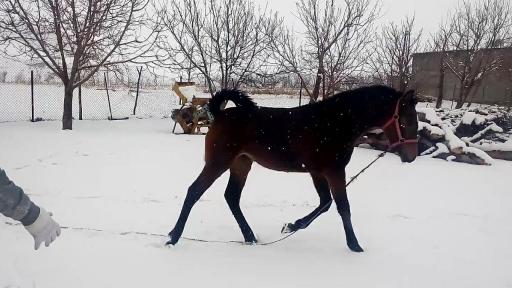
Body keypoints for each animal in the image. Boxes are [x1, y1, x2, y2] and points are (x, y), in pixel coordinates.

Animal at [166, 85, 418, 252]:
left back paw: (250, 237)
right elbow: (342, 206)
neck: (336, 123)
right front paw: (355, 245)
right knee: (194, 191)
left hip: (242, 164)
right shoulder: (334, 171)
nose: (412, 156)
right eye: (405, 121)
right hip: (219, 162)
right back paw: (173, 237)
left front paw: (292, 225)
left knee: (232, 197)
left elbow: (325, 203)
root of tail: (220, 114)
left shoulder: (318, 172)